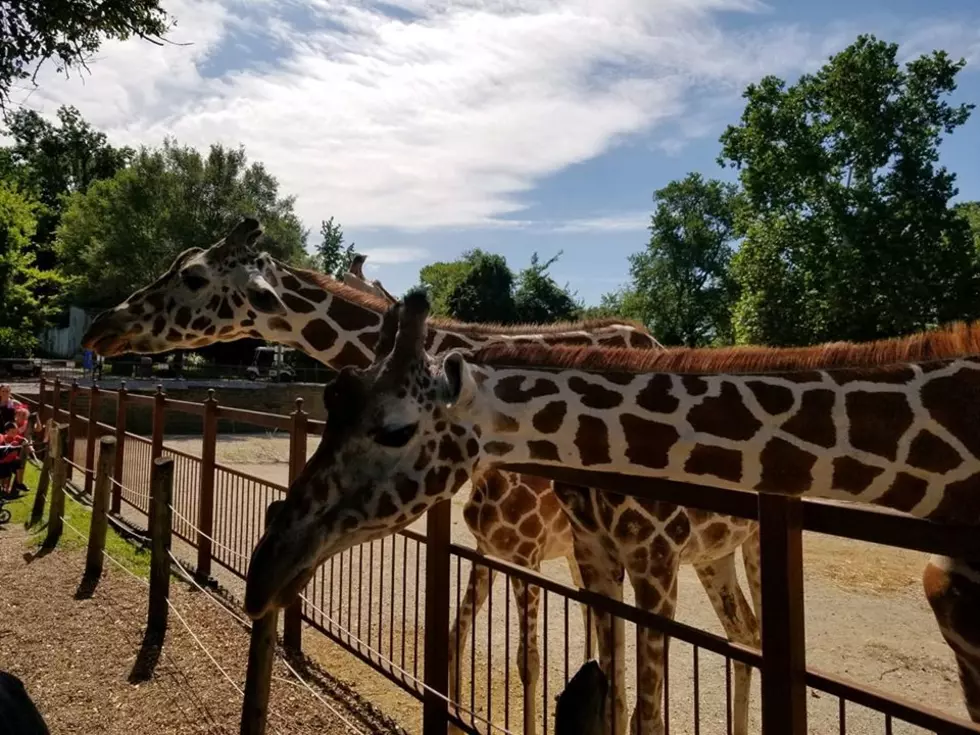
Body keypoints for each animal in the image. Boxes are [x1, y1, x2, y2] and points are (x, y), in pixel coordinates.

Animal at [84, 220, 764, 735]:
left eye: (194, 276)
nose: (100, 326)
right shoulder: (543, 551)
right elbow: (472, 645)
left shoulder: (622, 554)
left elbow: (559, 675)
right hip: (699, 553)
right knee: (741, 635)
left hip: (722, 548)